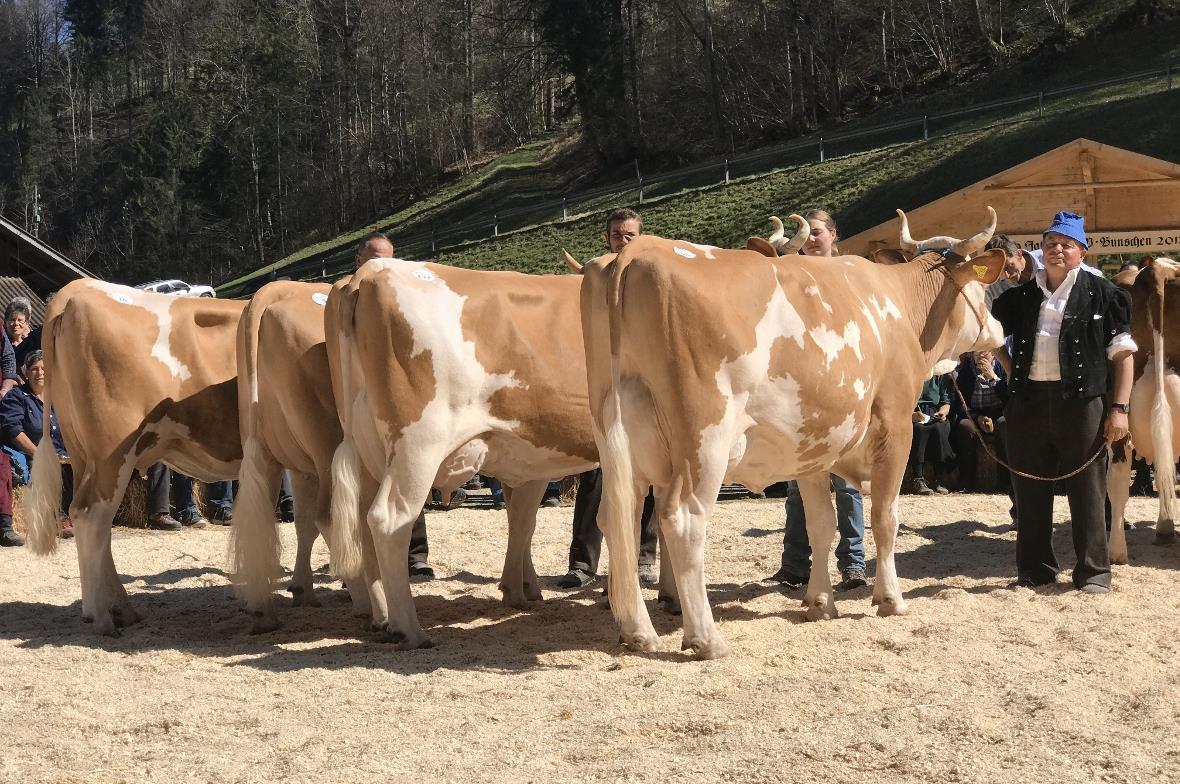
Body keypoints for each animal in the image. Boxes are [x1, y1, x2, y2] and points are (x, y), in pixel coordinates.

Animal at [25, 281, 246, 635]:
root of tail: (78, 288)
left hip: (84, 453)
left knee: (94, 523)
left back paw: (118, 610)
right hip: (112, 451)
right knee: (90, 516)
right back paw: (102, 618)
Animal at [580, 208, 1006, 659]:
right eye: (982, 287)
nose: (999, 329)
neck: (898, 307)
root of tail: (640, 251)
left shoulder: (814, 443)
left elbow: (822, 524)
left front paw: (819, 603)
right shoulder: (895, 424)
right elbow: (884, 517)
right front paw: (890, 599)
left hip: (621, 437)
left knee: (618, 516)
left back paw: (637, 630)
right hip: (706, 441)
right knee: (682, 520)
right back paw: (706, 638)